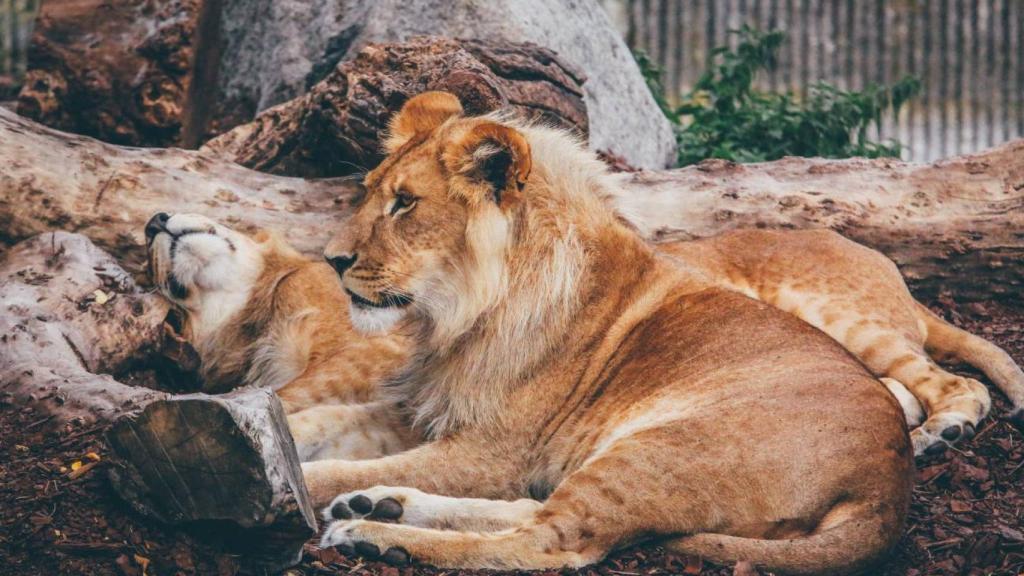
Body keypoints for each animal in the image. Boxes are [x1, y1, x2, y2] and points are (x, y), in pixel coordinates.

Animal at [302, 92, 915, 574]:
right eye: (370, 191)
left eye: (405, 203)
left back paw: (375, 536)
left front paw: (296, 486)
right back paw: (380, 504)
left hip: (656, 450)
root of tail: (888, 490)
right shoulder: (429, 409)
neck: (459, 315)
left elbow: (329, 472)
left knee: (546, 543)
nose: (331, 260)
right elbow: (323, 423)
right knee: (534, 512)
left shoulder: (490, 454)